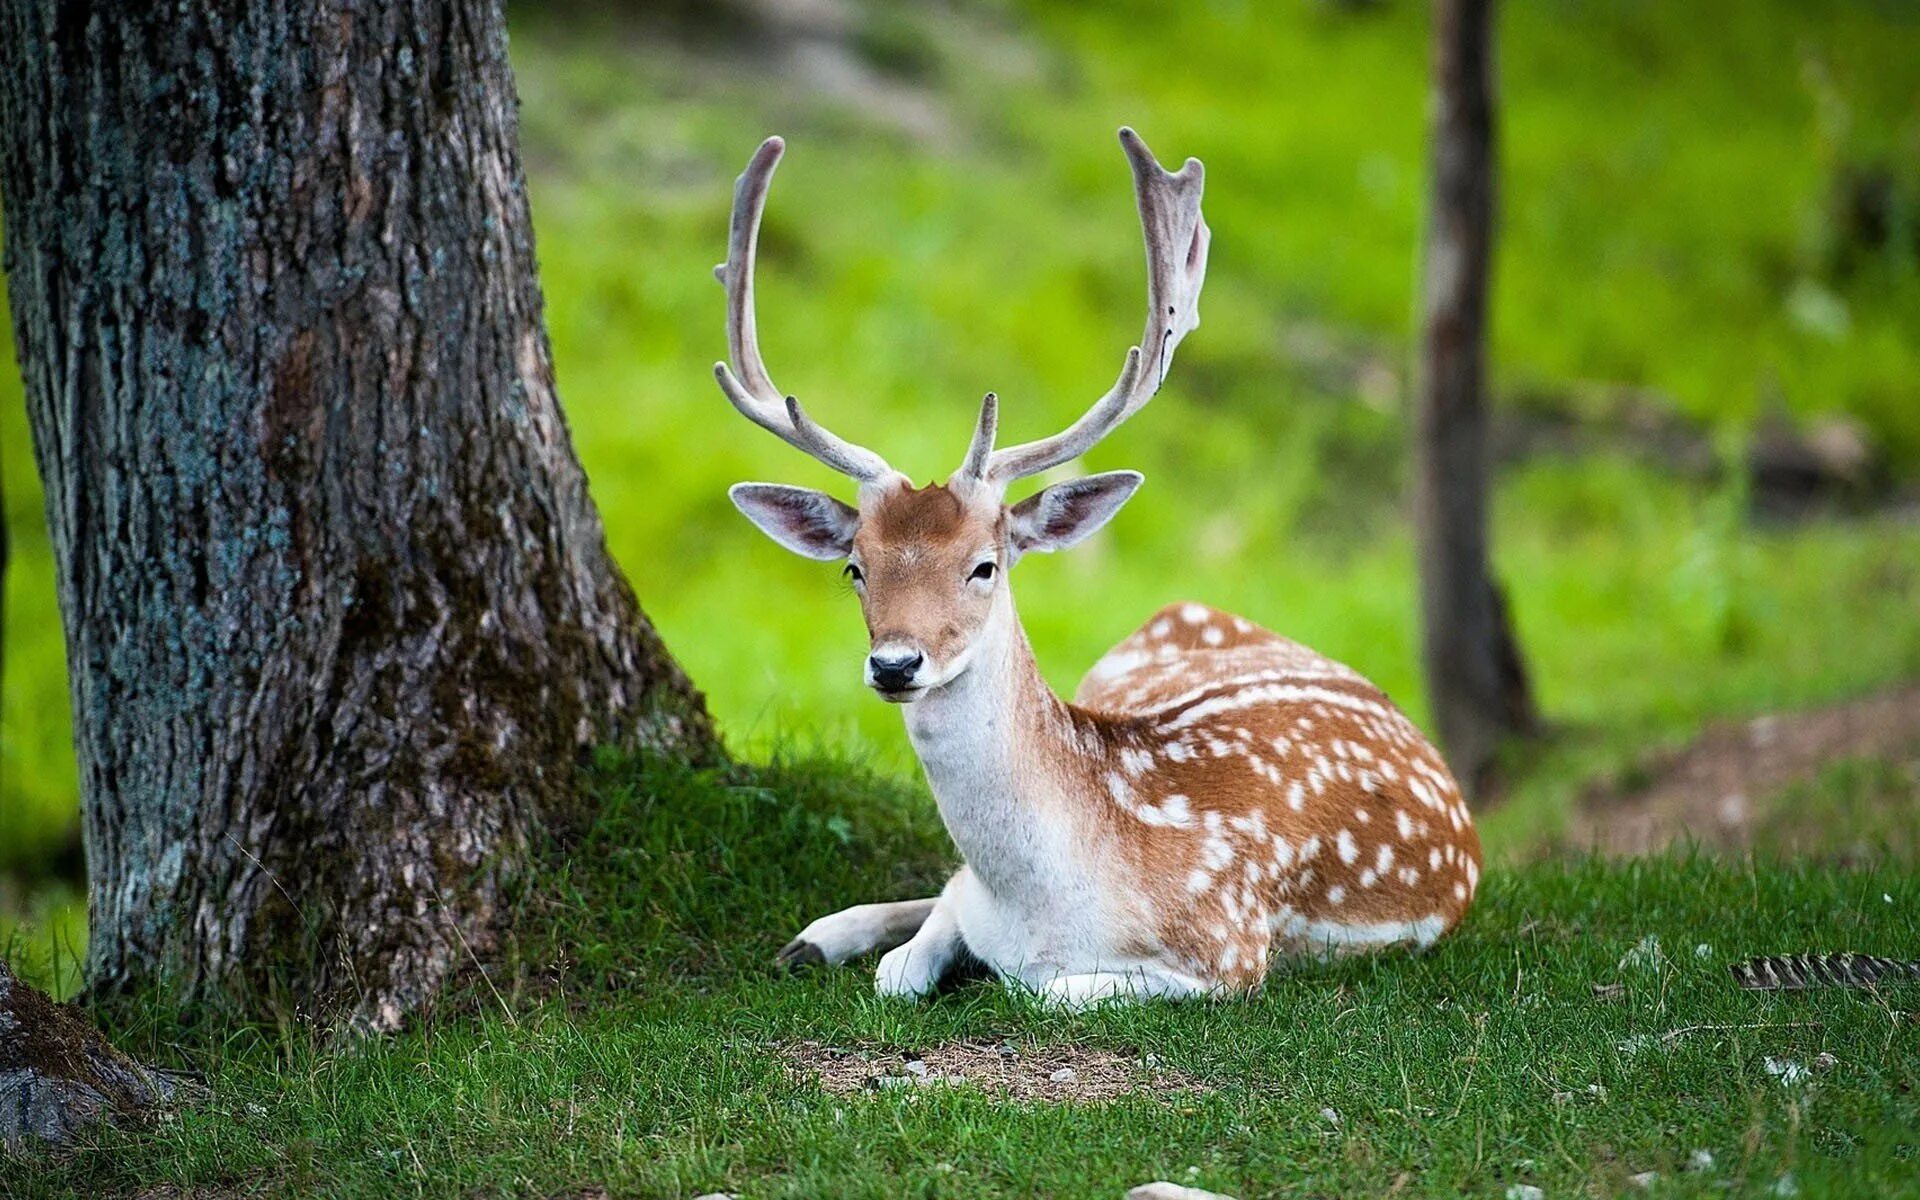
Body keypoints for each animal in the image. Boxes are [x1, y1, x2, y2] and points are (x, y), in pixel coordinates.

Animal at [714, 128, 1474, 998]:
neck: (1043, 903)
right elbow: (907, 962)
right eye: (856, 569)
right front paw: (847, 941)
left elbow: (1041, 989)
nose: (896, 664)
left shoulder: (1229, 952)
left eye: (985, 566)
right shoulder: (973, 899)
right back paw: (814, 937)